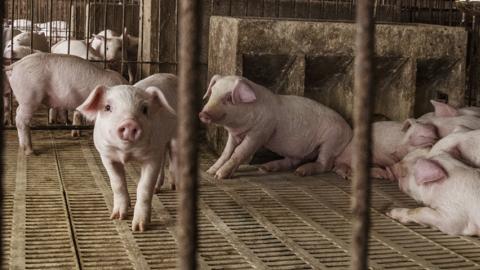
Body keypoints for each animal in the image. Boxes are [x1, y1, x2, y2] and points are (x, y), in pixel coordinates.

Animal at [199, 75, 352, 179]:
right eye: (212, 92)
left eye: (229, 98)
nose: (203, 114)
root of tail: (349, 132)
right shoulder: (234, 134)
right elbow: (226, 152)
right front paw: (210, 171)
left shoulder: (261, 132)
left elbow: (240, 152)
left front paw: (219, 176)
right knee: (293, 161)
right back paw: (266, 168)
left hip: (331, 141)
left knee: (325, 164)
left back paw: (301, 172)